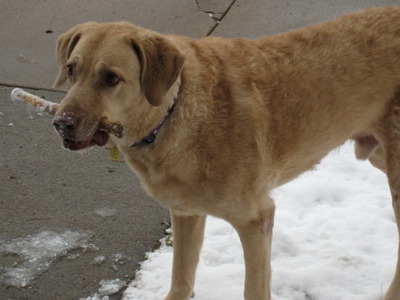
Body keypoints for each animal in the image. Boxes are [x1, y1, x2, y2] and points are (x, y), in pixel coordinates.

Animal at [52, 6, 400, 300]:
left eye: (111, 78)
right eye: (70, 69)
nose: (60, 123)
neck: (174, 110)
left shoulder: (257, 219)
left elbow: (253, 289)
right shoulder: (186, 213)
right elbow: (181, 278)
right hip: (377, 154)